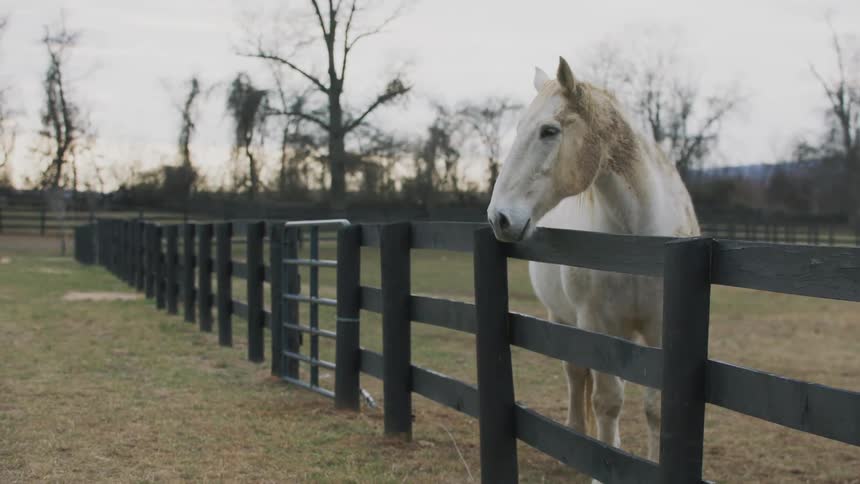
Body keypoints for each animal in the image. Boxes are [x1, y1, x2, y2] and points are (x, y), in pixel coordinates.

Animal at [487, 57, 700, 473]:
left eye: (549, 131)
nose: (499, 218)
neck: (638, 242)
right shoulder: (598, 325)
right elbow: (607, 402)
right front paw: (603, 469)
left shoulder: (659, 329)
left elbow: (655, 408)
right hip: (563, 318)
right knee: (575, 375)